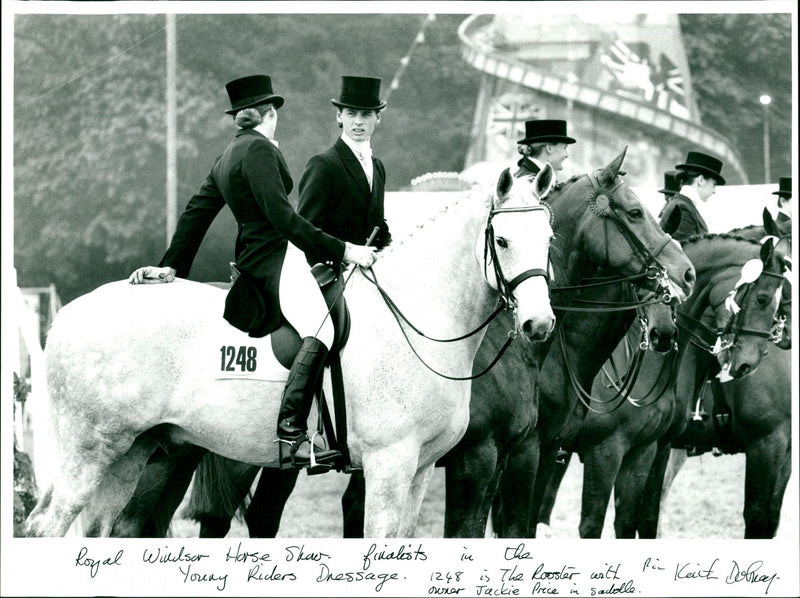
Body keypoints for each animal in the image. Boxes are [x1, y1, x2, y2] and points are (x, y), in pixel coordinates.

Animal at [536, 231, 792, 540]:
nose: (747, 364)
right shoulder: (605, 449)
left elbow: (640, 519)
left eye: (778, 299)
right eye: (764, 298)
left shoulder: (655, 447)